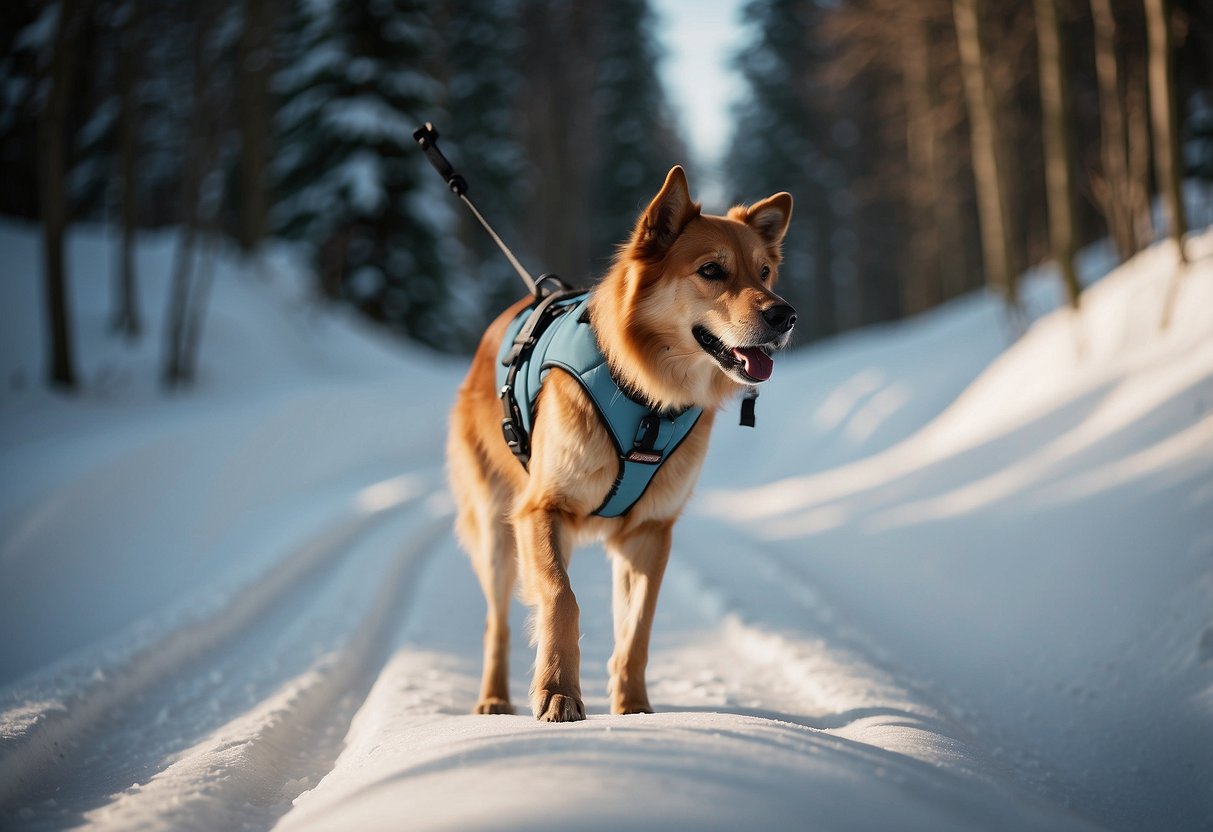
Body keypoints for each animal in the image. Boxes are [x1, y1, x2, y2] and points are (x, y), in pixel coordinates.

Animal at [446, 164, 795, 722]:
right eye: (712, 271)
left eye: (764, 273)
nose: (786, 316)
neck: (648, 397)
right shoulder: (540, 509)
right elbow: (561, 597)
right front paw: (559, 692)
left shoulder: (649, 531)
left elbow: (638, 627)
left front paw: (633, 709)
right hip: (497, 534)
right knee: (495, 622)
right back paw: (494, 699)